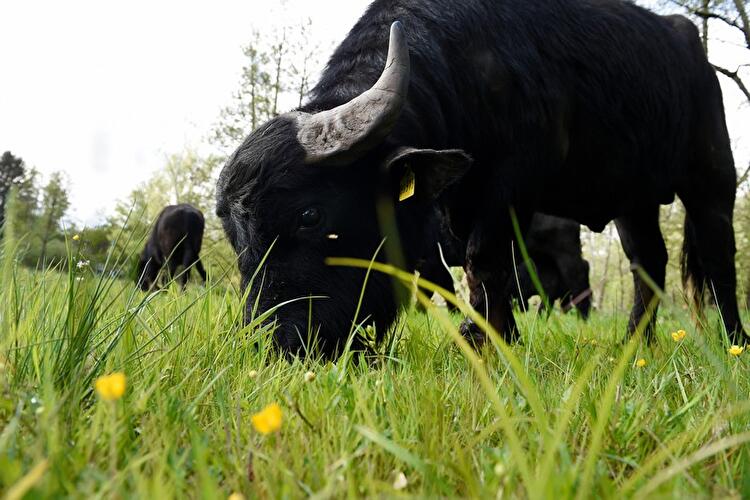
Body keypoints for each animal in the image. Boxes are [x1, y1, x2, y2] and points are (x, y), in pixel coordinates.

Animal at [217, 0, 745, 356]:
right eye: (234, 235)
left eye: (310, 214)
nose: (277, 344)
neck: (468, 63)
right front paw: (494, 332)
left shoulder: (511, 184)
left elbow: (484, 259)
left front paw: (485, 338)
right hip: (633, 201)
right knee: (646, 264)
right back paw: (634, 342)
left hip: (712, 175)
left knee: (718, 255)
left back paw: (734, 339)